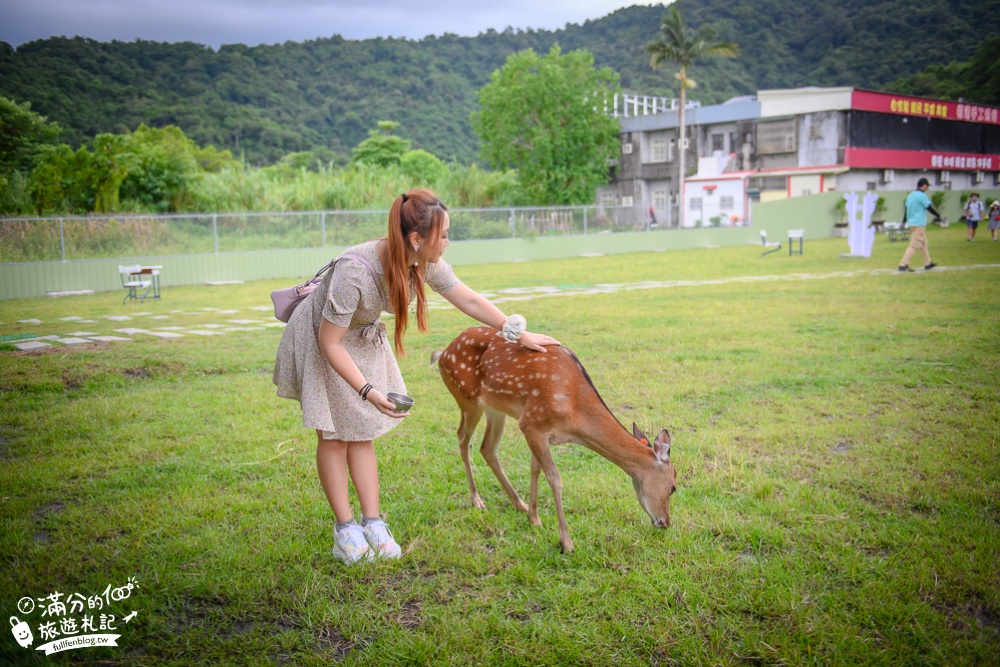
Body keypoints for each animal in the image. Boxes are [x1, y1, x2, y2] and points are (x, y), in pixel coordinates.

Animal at [434, 328, 676, 552]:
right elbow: (555, 478)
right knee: (463, 439)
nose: (665, 522)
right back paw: (476, 500)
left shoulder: (543, 434)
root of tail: (442, 353)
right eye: (674, 487)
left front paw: (533, 517)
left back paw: (519, 504)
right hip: (467, 399)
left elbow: (535, 469)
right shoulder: (531, 423)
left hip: (495, 409)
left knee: (487, 448)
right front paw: (566, 542)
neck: (575, 417)